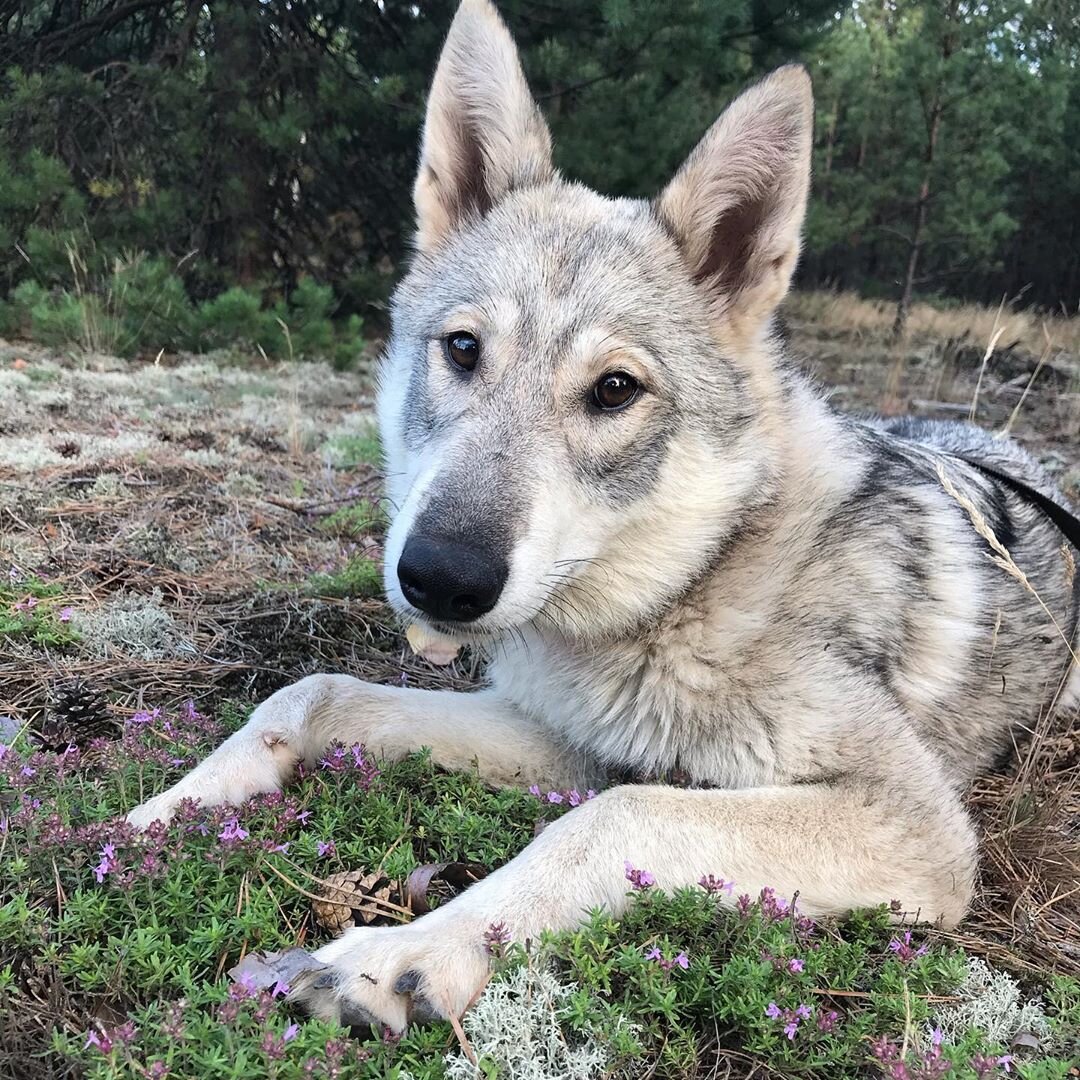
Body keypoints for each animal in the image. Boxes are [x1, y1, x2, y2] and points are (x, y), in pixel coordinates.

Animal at [128, 0, 1080, 1028]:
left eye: (615, 389)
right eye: (463, 349)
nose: (442, 579)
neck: (687, 593)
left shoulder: (915, 825)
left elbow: (614, 817)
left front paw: (402, 955)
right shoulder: (566, 738)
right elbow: (313, 691)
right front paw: (168, 810)